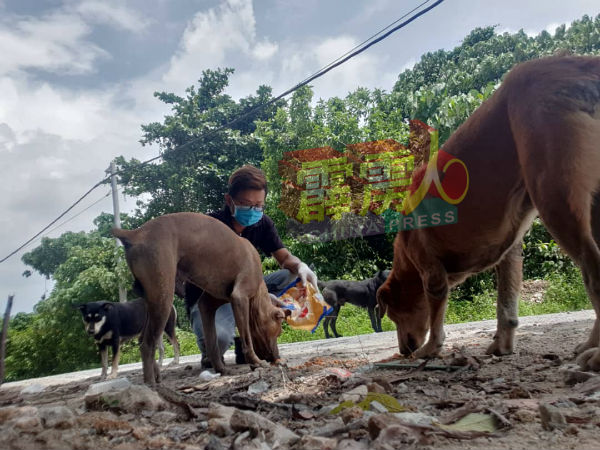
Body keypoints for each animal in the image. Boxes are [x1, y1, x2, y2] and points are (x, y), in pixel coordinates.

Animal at [378, 54, 600, 370]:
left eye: (394, 315)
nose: (404, 351)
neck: (405, 254)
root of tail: (581, 64)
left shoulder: (433, 277)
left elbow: (436, 322)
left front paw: (431, 348)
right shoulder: (510, 252)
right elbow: (506, 308)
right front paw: (501, 346)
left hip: (555, 199)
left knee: (593, 274)